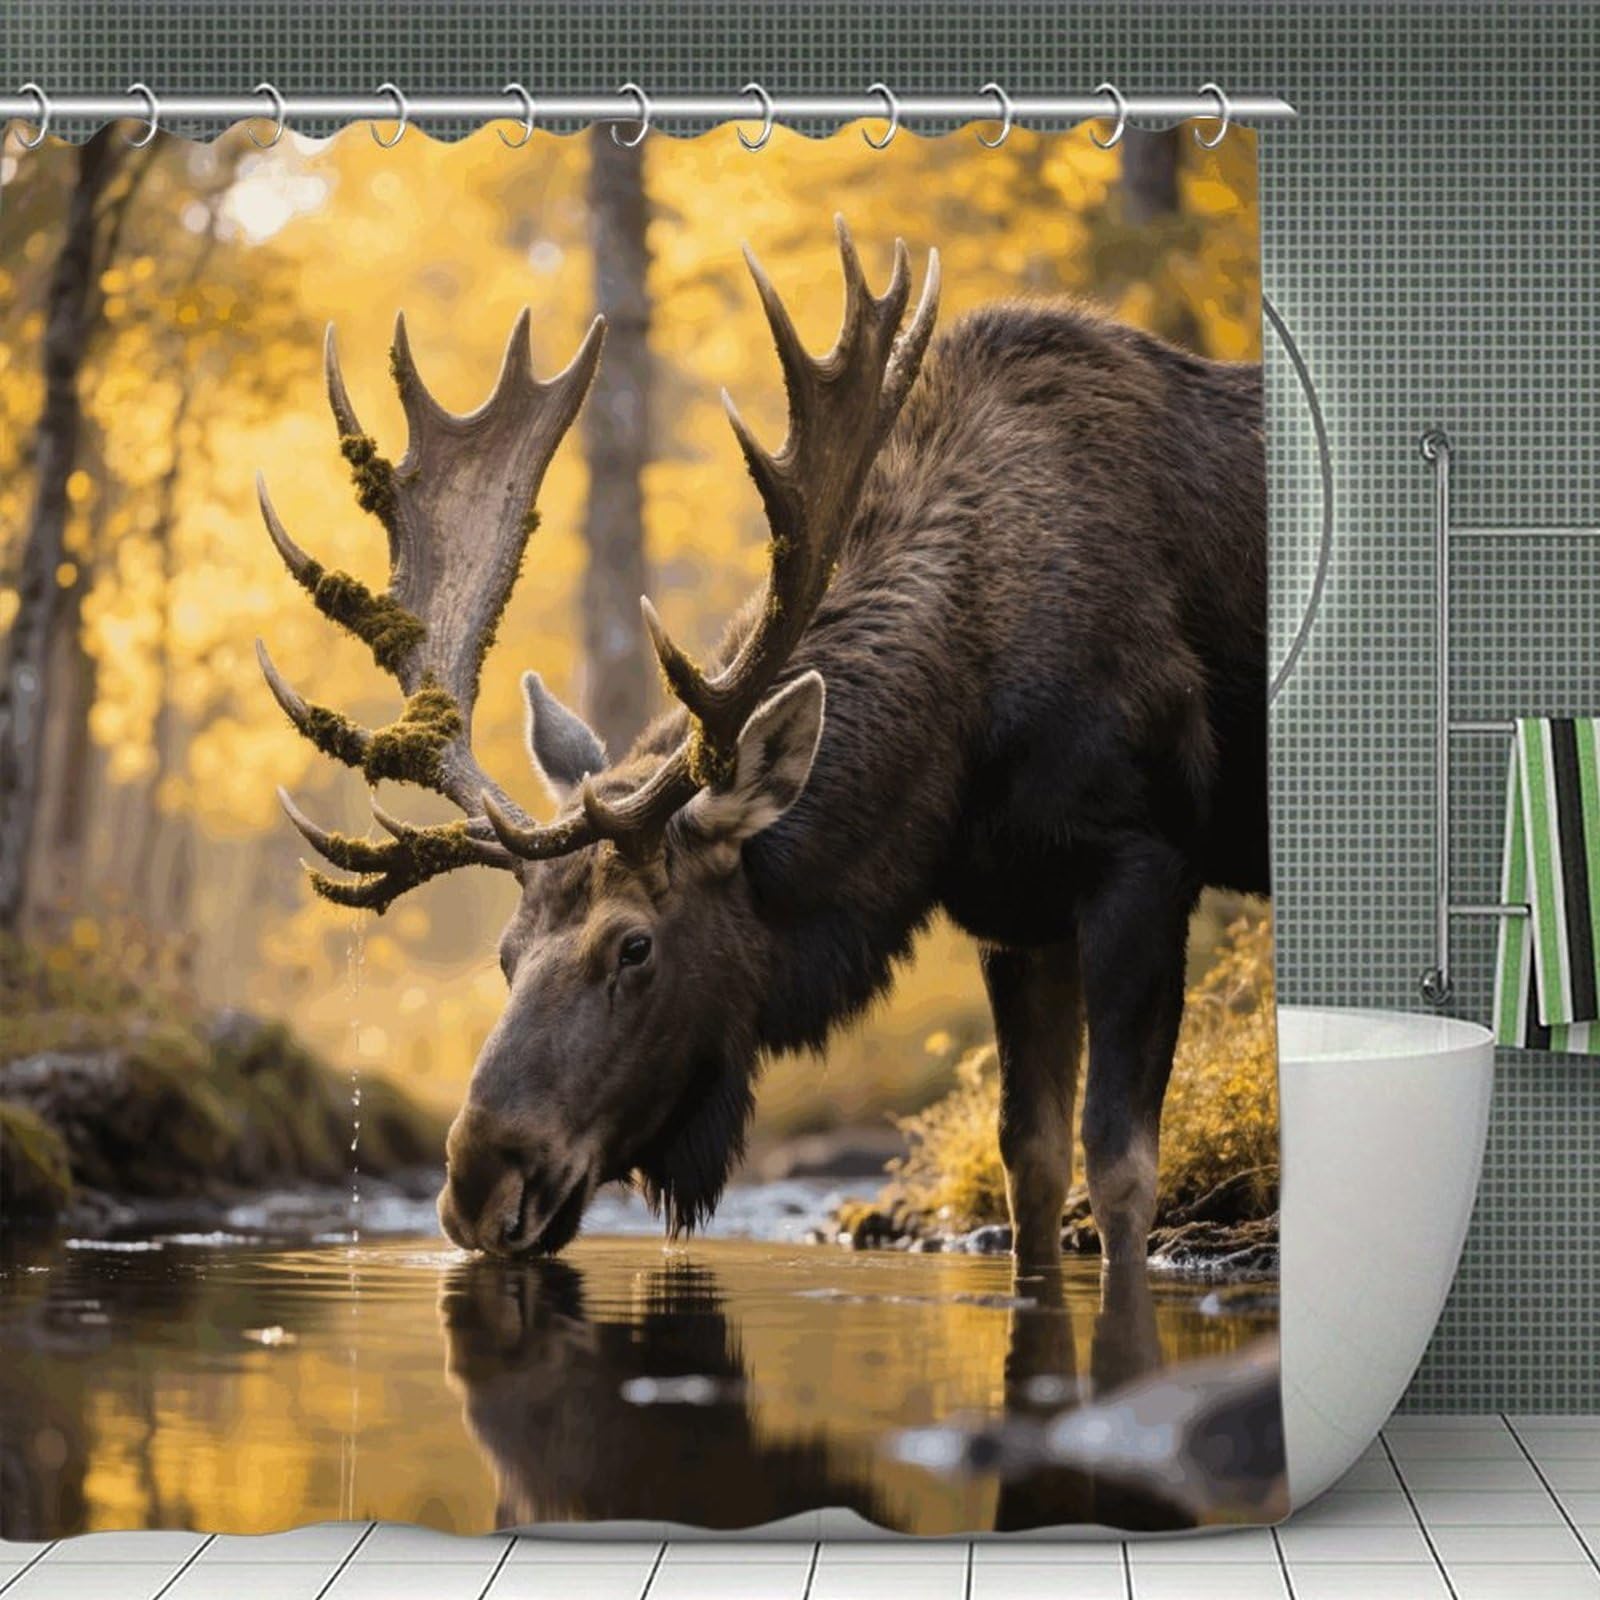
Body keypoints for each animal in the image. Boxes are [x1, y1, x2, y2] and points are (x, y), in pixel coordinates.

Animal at [256, 217, 1267, 1269]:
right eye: (506, 953)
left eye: (633, 947)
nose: (477, 1187)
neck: (956, 761)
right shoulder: (1014, 910)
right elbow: (1029, 1166)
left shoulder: (1144, 849)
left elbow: (1118, 1171)